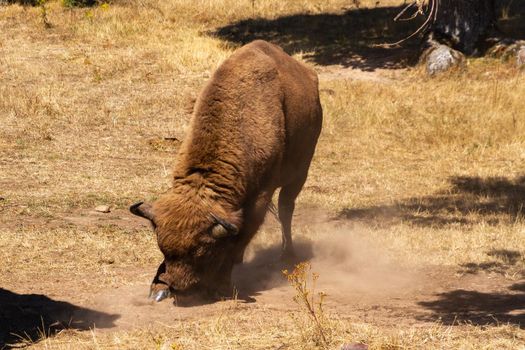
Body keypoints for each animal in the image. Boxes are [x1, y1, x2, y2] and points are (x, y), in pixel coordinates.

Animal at [129, 39, 322, 302]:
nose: (176, 285)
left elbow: (241, 237)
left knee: (286, 209)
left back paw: (287, 255)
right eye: (163, 248)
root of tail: (310, 77)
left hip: (300, 172)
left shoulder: (260, 197)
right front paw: (158, 287)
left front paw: (221, 284)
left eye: (202, 252)